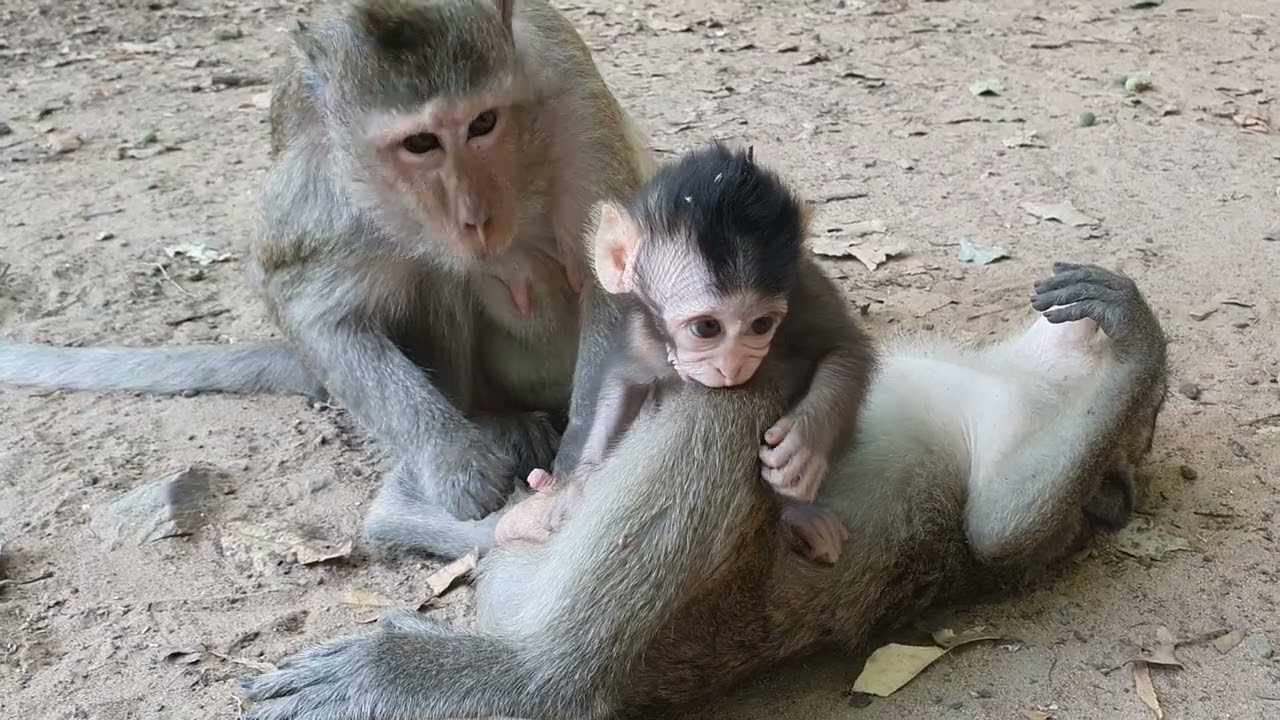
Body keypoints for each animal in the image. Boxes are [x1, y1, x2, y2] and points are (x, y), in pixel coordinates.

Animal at [0, 0, 654, 560]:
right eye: (421, 143)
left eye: (483, 123)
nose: (475, 216)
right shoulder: (325, 166)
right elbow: (308, 308)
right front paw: (453, 458)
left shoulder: (567, 90)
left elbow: (611, 277)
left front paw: (576, 471)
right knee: (429, 275)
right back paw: (492, 419)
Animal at [240, 262, 1169, 720]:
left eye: (1154, 412)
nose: (1157, 398)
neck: (1026, 379)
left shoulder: (1013, 459)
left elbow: (1001, 530)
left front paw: (1138, 339)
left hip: (677, 616)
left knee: (741, 396)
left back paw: (528, 675)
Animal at [493, 143, 874, 564]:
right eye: (706, 328)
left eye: (761, 325)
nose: (732, 366)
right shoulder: (643, 333)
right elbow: (625, 382)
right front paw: (579, 483)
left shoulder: (804, 290)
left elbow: (845, 346)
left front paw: (804, 445)